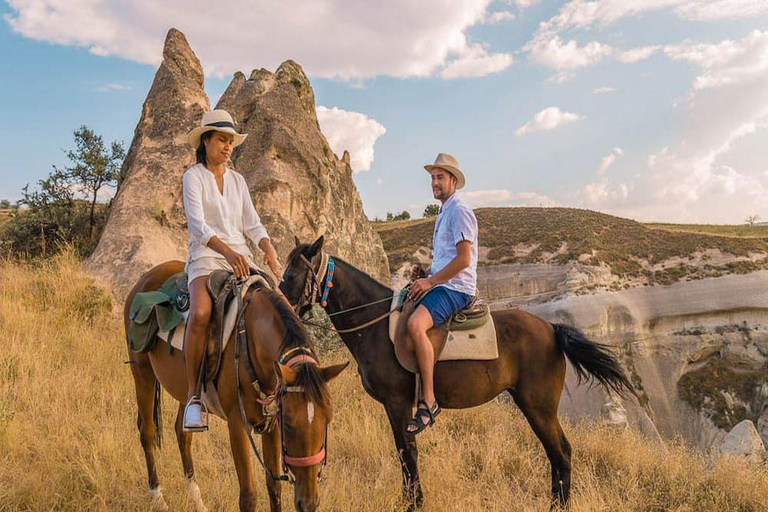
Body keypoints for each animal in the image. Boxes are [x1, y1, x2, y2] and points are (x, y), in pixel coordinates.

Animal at [125, 262, 348, 512]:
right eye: (289, 425)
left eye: (327, 419)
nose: (308, 503)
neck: (251, 339)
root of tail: (145, 278)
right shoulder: (237, 425)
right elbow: (249, 496)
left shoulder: (271, 424)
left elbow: (274, 487)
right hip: (142, 374)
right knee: (147, 432)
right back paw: (157, 496)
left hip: (187, 390)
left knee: (182, 433)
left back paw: (196, 500)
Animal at [282, 238, 636, 510]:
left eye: (293, 273)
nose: (282, 304)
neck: (376, 324)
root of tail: (551, 327)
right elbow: (404, 453)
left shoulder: (397, 403)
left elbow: (407, 452)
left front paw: (414, 502)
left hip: (539, 406)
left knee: (561, 452)